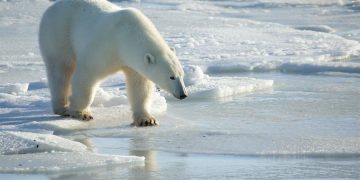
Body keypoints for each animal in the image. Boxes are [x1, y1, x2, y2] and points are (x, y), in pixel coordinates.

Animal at [39, 0, 187, 126]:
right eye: (171, 77)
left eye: (182, 75)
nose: (183, 94)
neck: (126, 35)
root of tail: (52, 6)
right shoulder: (105, 48)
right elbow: (86, 75)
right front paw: (81, 113)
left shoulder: (133, 63)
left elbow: (140, 86)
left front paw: (147, 119)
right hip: (58, 34)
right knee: (61, 69)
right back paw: (62, 108)